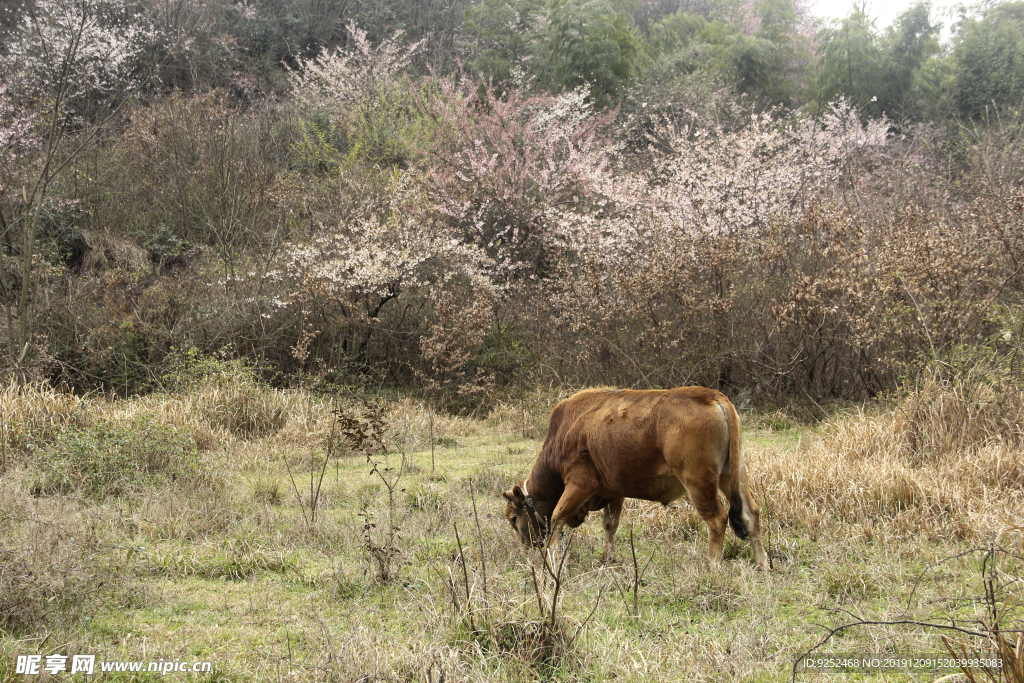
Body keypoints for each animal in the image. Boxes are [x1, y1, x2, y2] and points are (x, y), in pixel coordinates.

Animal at [503, 387, 770, 569]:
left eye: (514, 518)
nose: (527, 548)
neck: (564, 435)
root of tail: (711, 395)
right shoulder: (614, 492)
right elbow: (610, 525)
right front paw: (607, 558)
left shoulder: (579, 486)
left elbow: (557, 517)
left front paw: (553, 558)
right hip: (733, 475)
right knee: (751, 514)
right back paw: (762, 565)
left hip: (698, 481)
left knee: (716, 519)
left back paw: (712, 567)